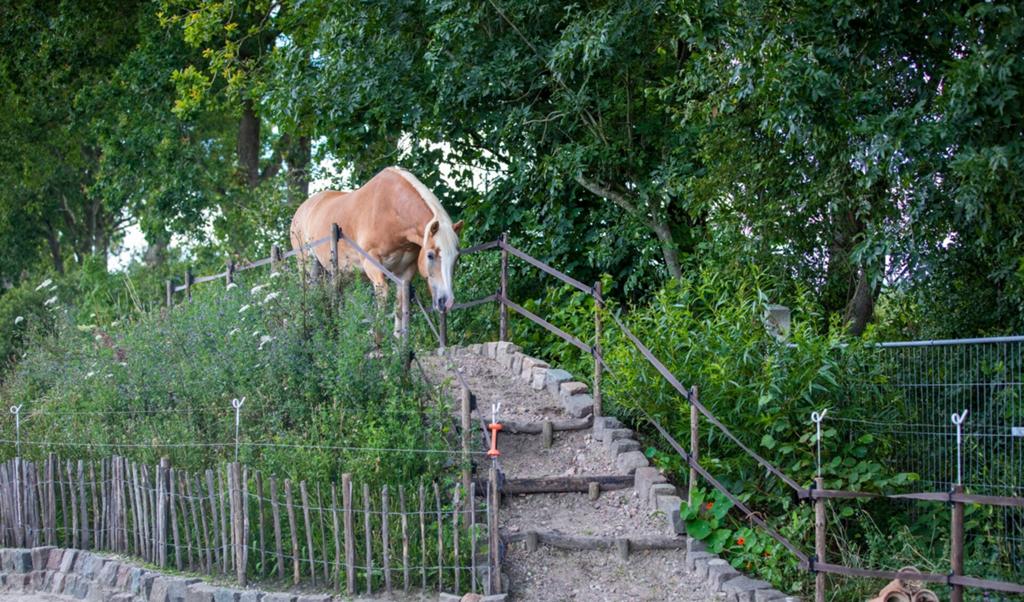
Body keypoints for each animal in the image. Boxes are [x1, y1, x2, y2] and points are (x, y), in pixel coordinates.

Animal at [289, 166, 463, 336]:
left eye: (456, 257)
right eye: (430, 255)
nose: (447, 302)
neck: (390, 210)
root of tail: (301, 209)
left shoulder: (405, 271)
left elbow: (400, 305)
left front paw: (398, 341)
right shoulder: (371, 264)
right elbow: (383, 295)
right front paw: (377, 339)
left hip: (337, 273)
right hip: (306, 266)